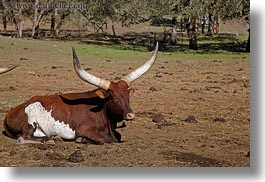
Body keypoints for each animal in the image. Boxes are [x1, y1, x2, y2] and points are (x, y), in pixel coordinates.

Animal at [3, 42, 158, 144]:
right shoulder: (84, 130)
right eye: (114, 97)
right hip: (29, 123)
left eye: (127, 96)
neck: (103, 112)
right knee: (23, 138)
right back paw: (51, 139)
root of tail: (10, 113)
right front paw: (81, 140)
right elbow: (102, 140)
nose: (131, 115)